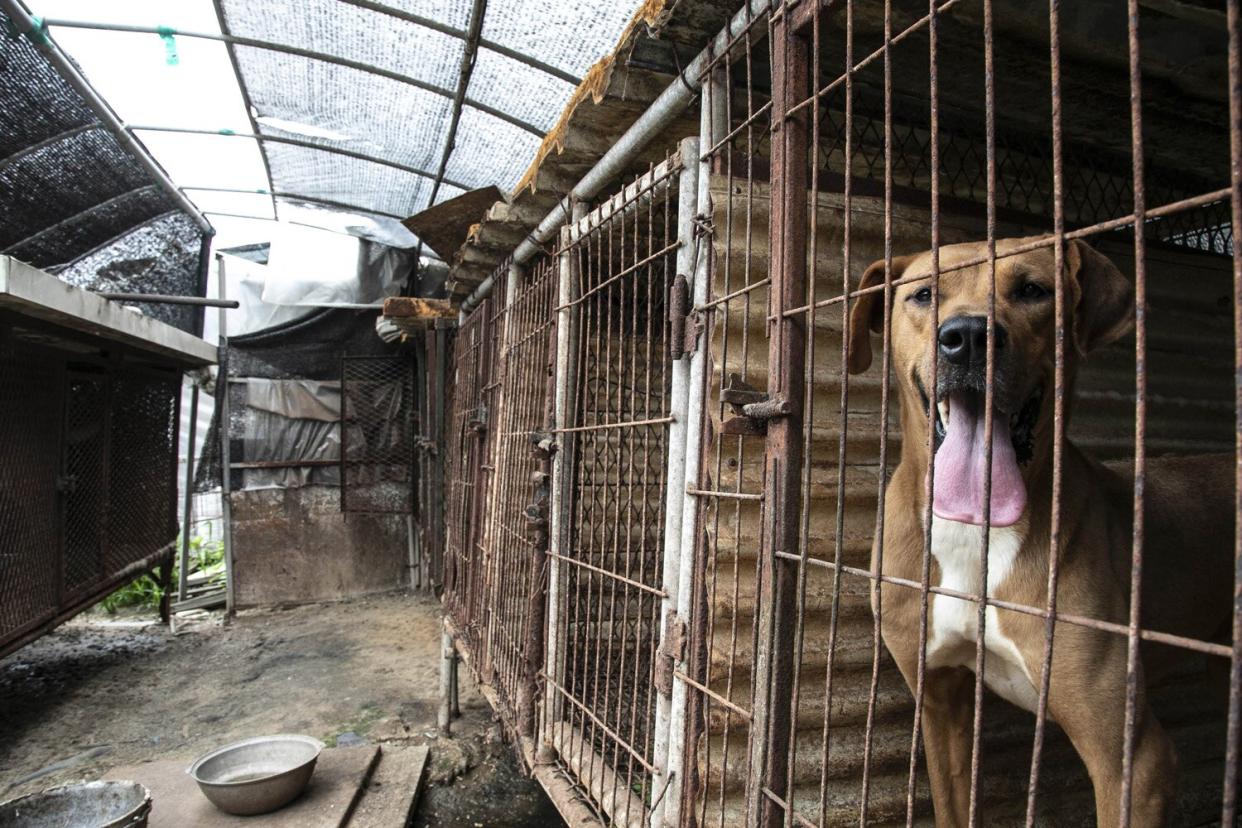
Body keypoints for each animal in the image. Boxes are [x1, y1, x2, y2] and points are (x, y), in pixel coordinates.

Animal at [844, 235, 1232, 824]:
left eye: (1032, 290)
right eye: (925, 294)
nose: (968, 337)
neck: (974, 532)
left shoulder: (1133, 762)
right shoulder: (940, 703)